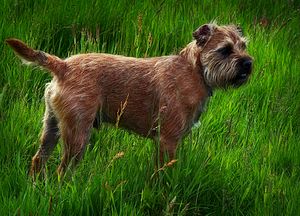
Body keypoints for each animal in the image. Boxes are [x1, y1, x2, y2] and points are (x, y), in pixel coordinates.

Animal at [5, 23, 252, 177]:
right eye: (225, 50)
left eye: (243, 46)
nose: (248, 63)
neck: (195, 70)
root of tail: (63, 65)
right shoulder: (168, 141)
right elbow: (162, 174)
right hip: (78, 134)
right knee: (61, 171)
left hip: (52, 126)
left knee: (38, 159)